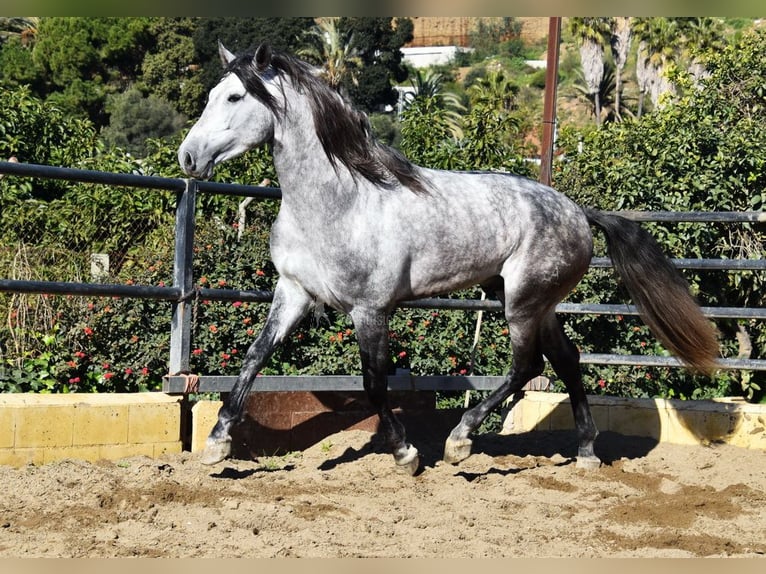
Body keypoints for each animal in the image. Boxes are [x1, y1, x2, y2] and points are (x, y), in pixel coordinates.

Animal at [178, 44, 720, 476]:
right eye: (211, 94)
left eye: (234, 98)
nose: (187, 158)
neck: (339, 201)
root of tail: (577, 211)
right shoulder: (292, 293)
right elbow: (254, 359)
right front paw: (217, 444)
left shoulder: (370, 310)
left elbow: (374, 384)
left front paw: (407, 454)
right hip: (530, 300)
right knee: (567, 359)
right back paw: (585, 453)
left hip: (522, 302)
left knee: (526, 366)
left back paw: (461, 441)